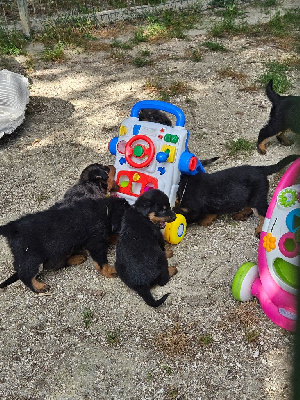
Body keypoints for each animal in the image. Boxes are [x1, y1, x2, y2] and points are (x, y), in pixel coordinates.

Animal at [0, 196, 129, 292]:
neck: (104, 210)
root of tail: (10, 228)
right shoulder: (96, 242)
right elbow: (101, 262)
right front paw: (110, 271)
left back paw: (77, 258)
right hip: (32, 256)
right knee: (25, 274)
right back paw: (39, 287)